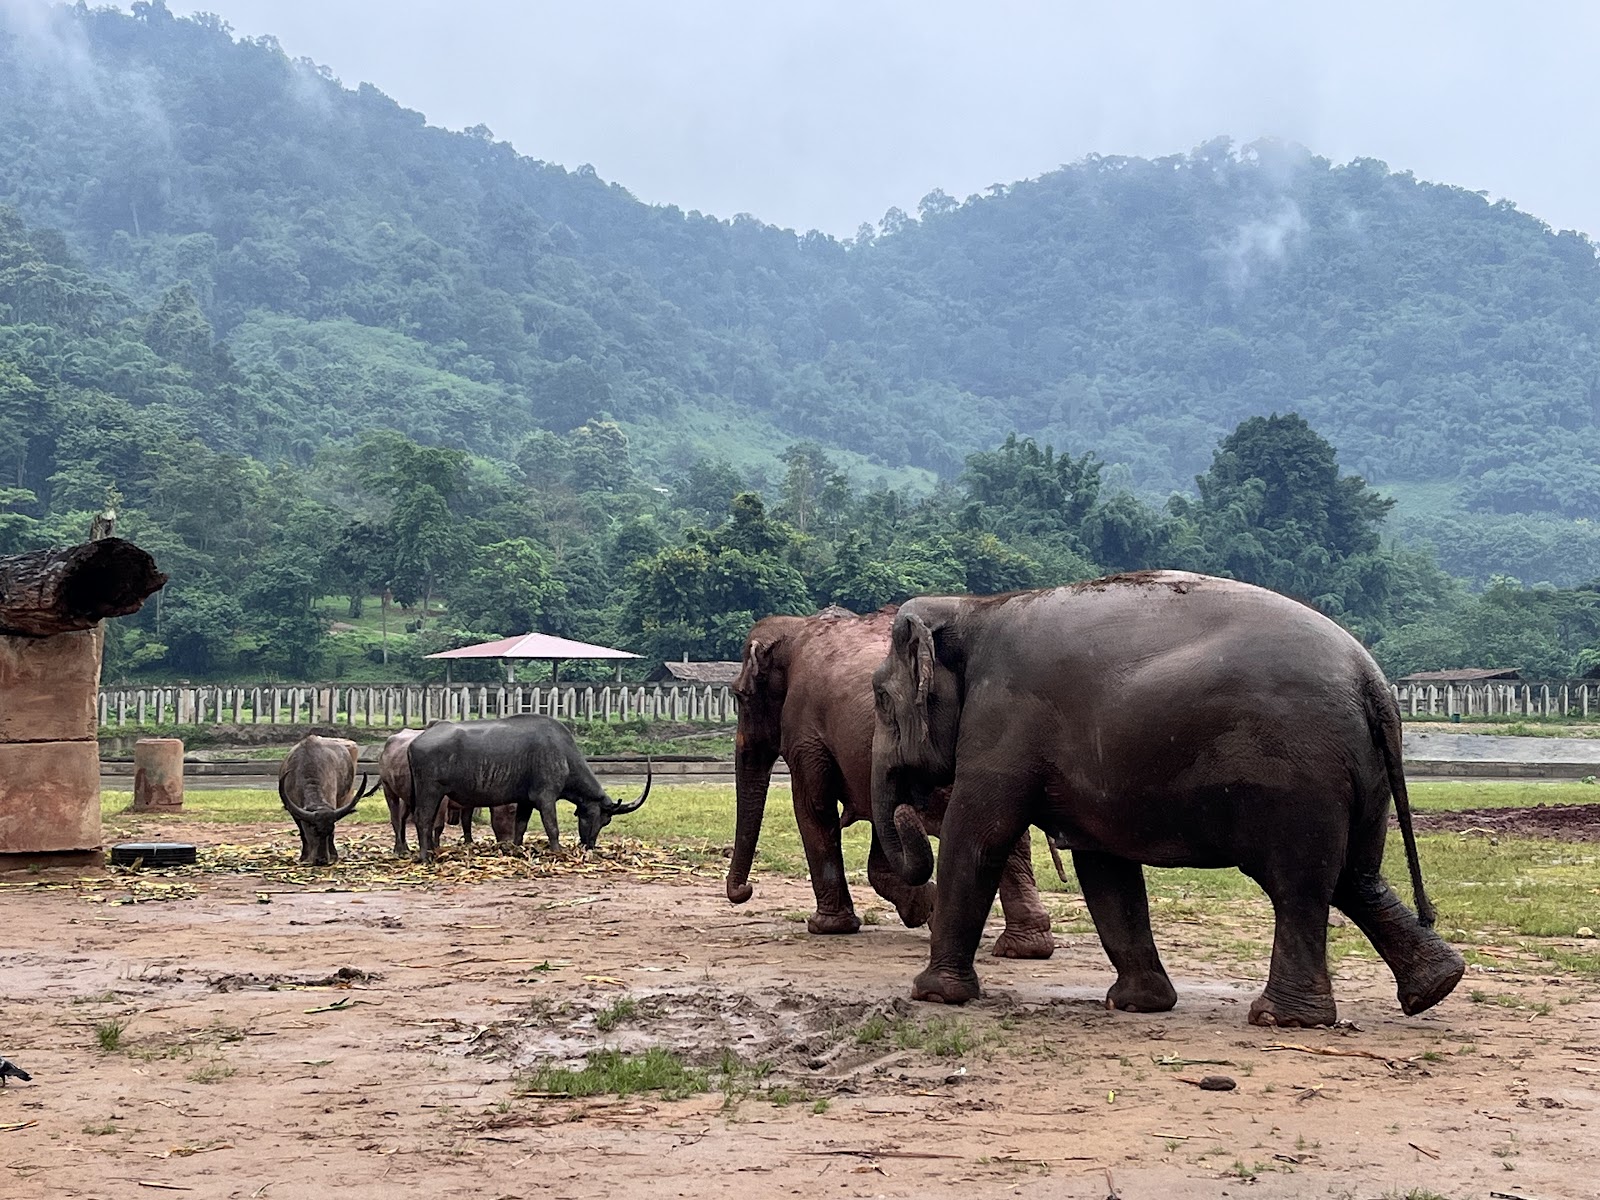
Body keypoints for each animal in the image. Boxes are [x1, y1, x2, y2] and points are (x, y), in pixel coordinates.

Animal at [726, 605, 1055, 959]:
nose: (745, 889)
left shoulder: (804, 728)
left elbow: (813, 808)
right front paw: (922, 908)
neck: (797, 627)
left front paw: (827, 927)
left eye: (740, 696)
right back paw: (1026, 947)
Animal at [870, 571, 1465, 1027]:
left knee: (1301, 884)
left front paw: (932, 993)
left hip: (1300, 777)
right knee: (1355, 877)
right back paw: (1435, 988)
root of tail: (1372, 681)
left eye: (878, 697)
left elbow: (976, 836)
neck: (975, 607)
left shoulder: (1004, 721)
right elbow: (1104, 867)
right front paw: (1138, 1005)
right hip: (1359, 775)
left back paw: (1282, 1019)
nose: (906, 803)